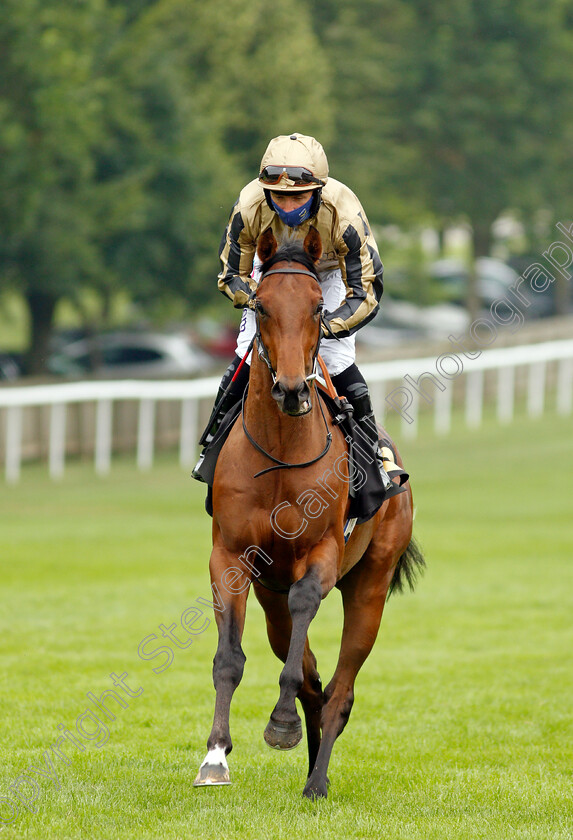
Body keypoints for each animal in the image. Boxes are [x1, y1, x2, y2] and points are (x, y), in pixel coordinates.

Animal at [194, 225, 422, 800]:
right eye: (262, 306)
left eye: (319, 307)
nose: (293, 389)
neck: (279, 451)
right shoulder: (230, 557)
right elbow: (230, 659)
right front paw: (215, 756)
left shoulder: (320, 555)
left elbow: (305, 620)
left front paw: (280, 725)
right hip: (269, 595)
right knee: (310, 672)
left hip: (371, 584)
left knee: (341, 686)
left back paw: (317, 779)